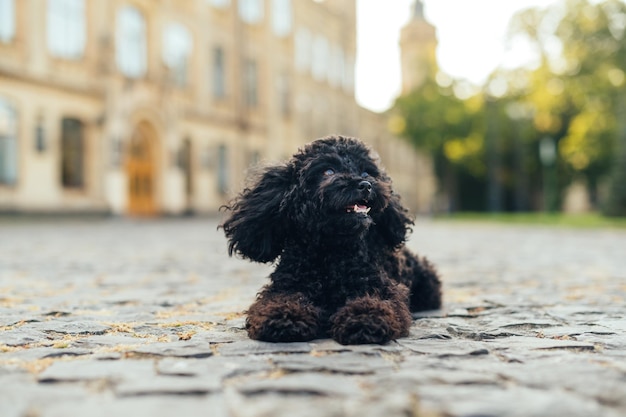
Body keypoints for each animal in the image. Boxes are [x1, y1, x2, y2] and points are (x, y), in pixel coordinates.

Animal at [219, 135, 438, 342]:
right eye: (328, 171)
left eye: (366, 172)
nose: (365, 185)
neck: (331, 252)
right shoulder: (283, 288)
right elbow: (280, 301)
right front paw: (284, 318)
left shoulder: (383, 289)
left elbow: (378, 303)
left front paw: (365, 319)